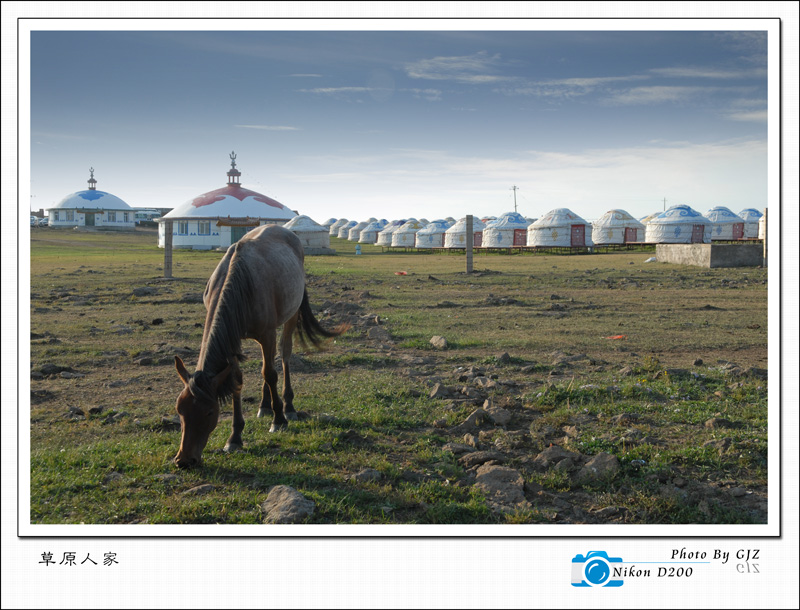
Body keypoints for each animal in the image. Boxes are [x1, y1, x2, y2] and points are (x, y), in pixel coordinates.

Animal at [172, 223, 344, 466]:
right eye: (180, 410)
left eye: (209, 412)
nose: (184, 461)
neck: (239, 282)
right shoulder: (233, 338)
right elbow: (237, 380)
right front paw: (235, 437)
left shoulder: (267, 333)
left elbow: (270, 373)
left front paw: (279, 419)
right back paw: (264, 406)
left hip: (290, 317)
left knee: (283, 355)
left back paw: (288, 406)